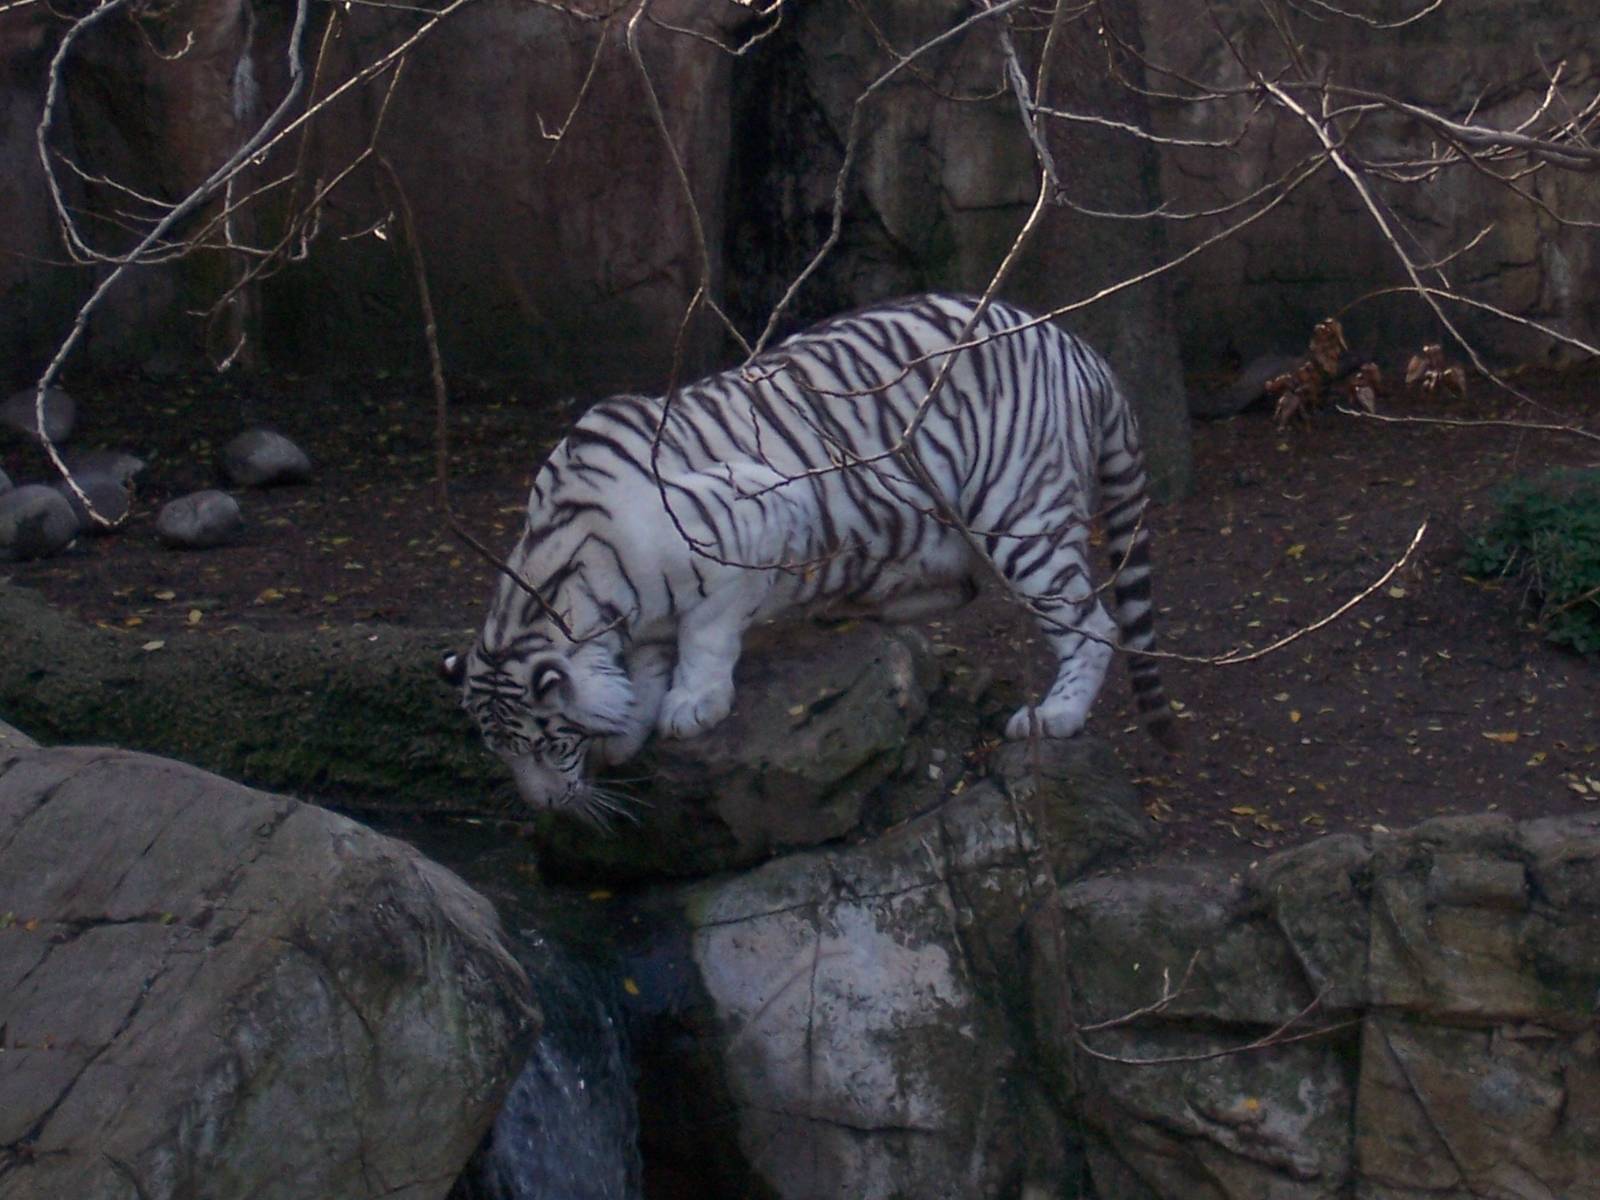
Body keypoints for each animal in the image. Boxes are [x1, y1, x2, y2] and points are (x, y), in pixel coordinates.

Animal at [442, 293, 1177, 818]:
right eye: (501, 753)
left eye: (547, 744)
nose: (547, 806)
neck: (574, 580)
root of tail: (1074, 343)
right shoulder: (640, 621)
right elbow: (645, 666)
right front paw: (630, 725)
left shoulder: (757, 516)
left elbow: (706, 634)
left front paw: (691, 706)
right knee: (963, 582)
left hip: (1018, 512)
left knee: (1092, 623)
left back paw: (1055, 717)